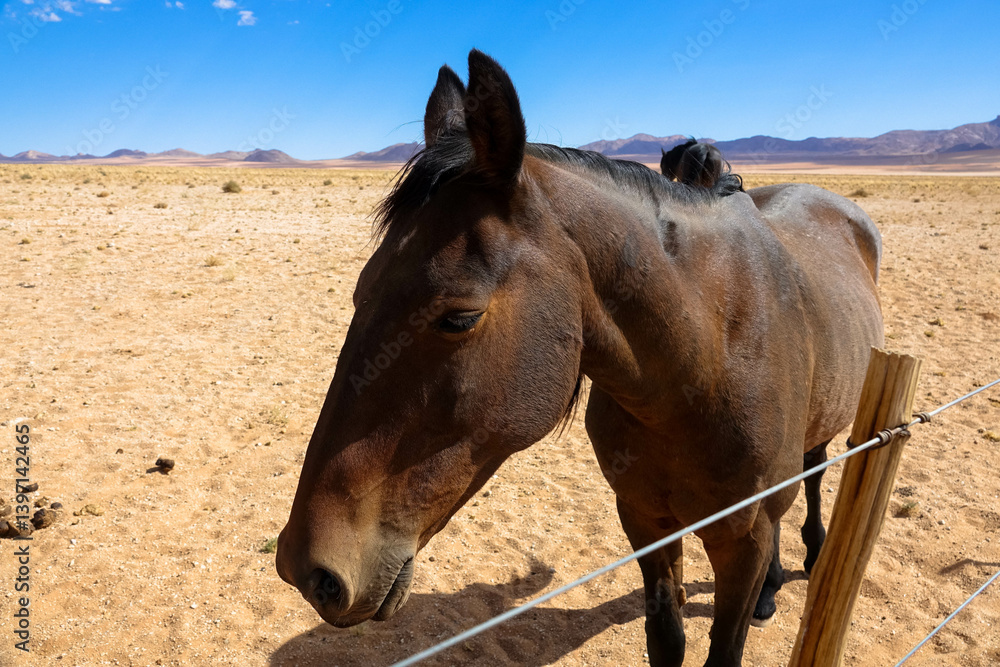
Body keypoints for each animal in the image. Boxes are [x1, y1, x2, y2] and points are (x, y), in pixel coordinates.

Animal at [275, 50, 884, 667]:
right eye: (359, 291)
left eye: (460, 317)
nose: (308, 571)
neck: (707, 365)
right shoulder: (644, 518)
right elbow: (666, 638)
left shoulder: (744, 537)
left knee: (813, 471)